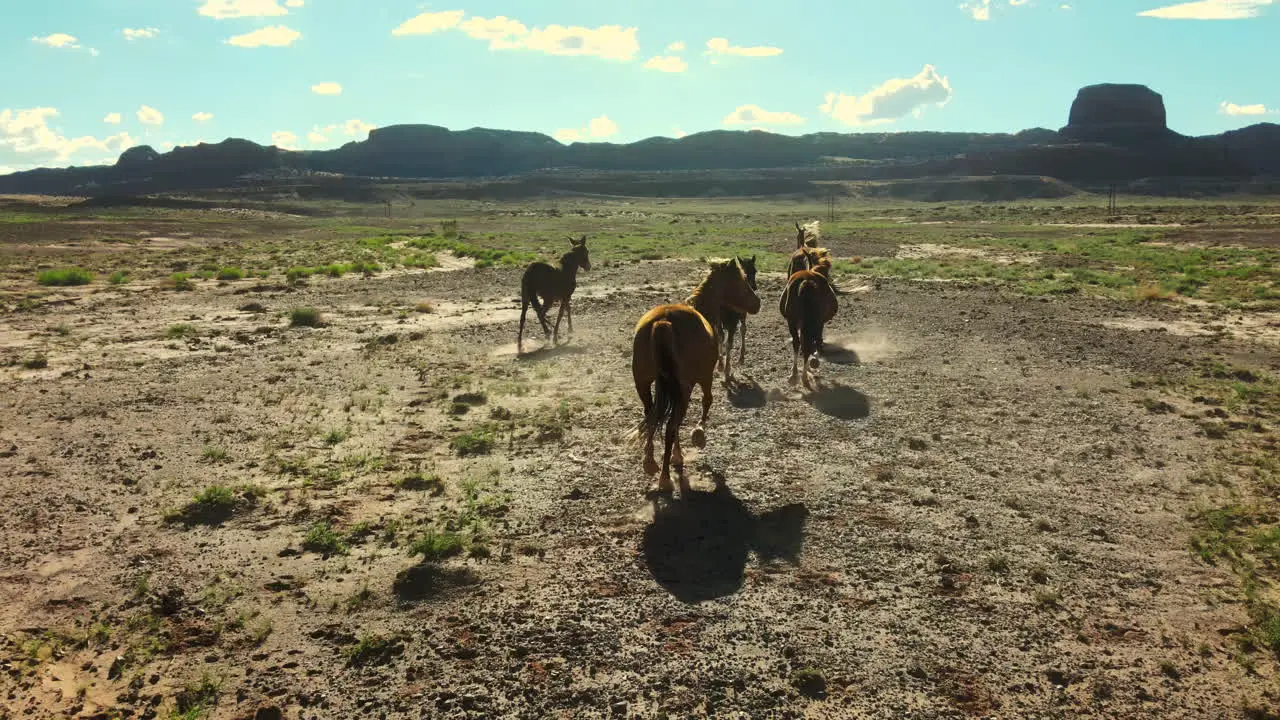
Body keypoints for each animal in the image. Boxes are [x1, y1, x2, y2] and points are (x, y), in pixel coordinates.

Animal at [629, 257, 757, 491]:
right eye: (743, 280)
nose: (757, 302)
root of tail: (664, 321)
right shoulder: (704, 378)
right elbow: (707, 402)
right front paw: (699, 434)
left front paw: (677, 455)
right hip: (683, 388)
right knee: (671, 425)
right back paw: (665, 478)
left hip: (643, 384)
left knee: (653, 417)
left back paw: (650, 462)